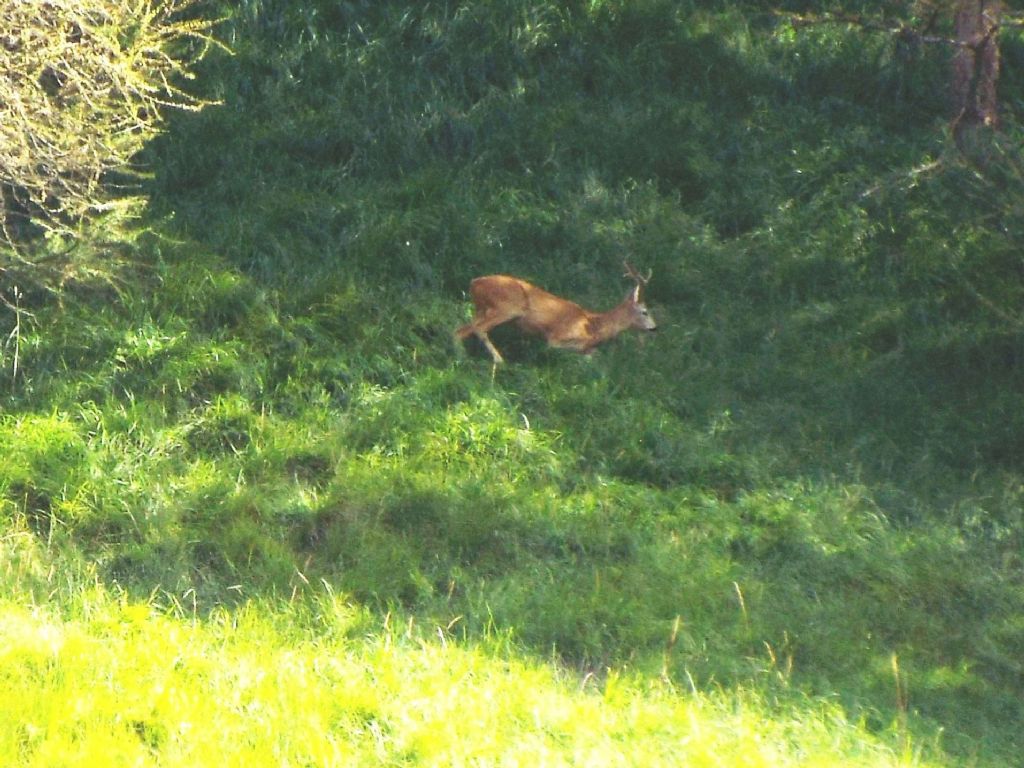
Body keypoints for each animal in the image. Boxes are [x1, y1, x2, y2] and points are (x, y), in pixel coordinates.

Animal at [454, 262, 655, 364]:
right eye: (644, 311)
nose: (655, 328)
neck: (594, 326)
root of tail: (474, 283)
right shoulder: (557, 338)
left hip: (483, 309)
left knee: (459, 329)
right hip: (508, 307)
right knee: (476, 329)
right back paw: (496, 360)